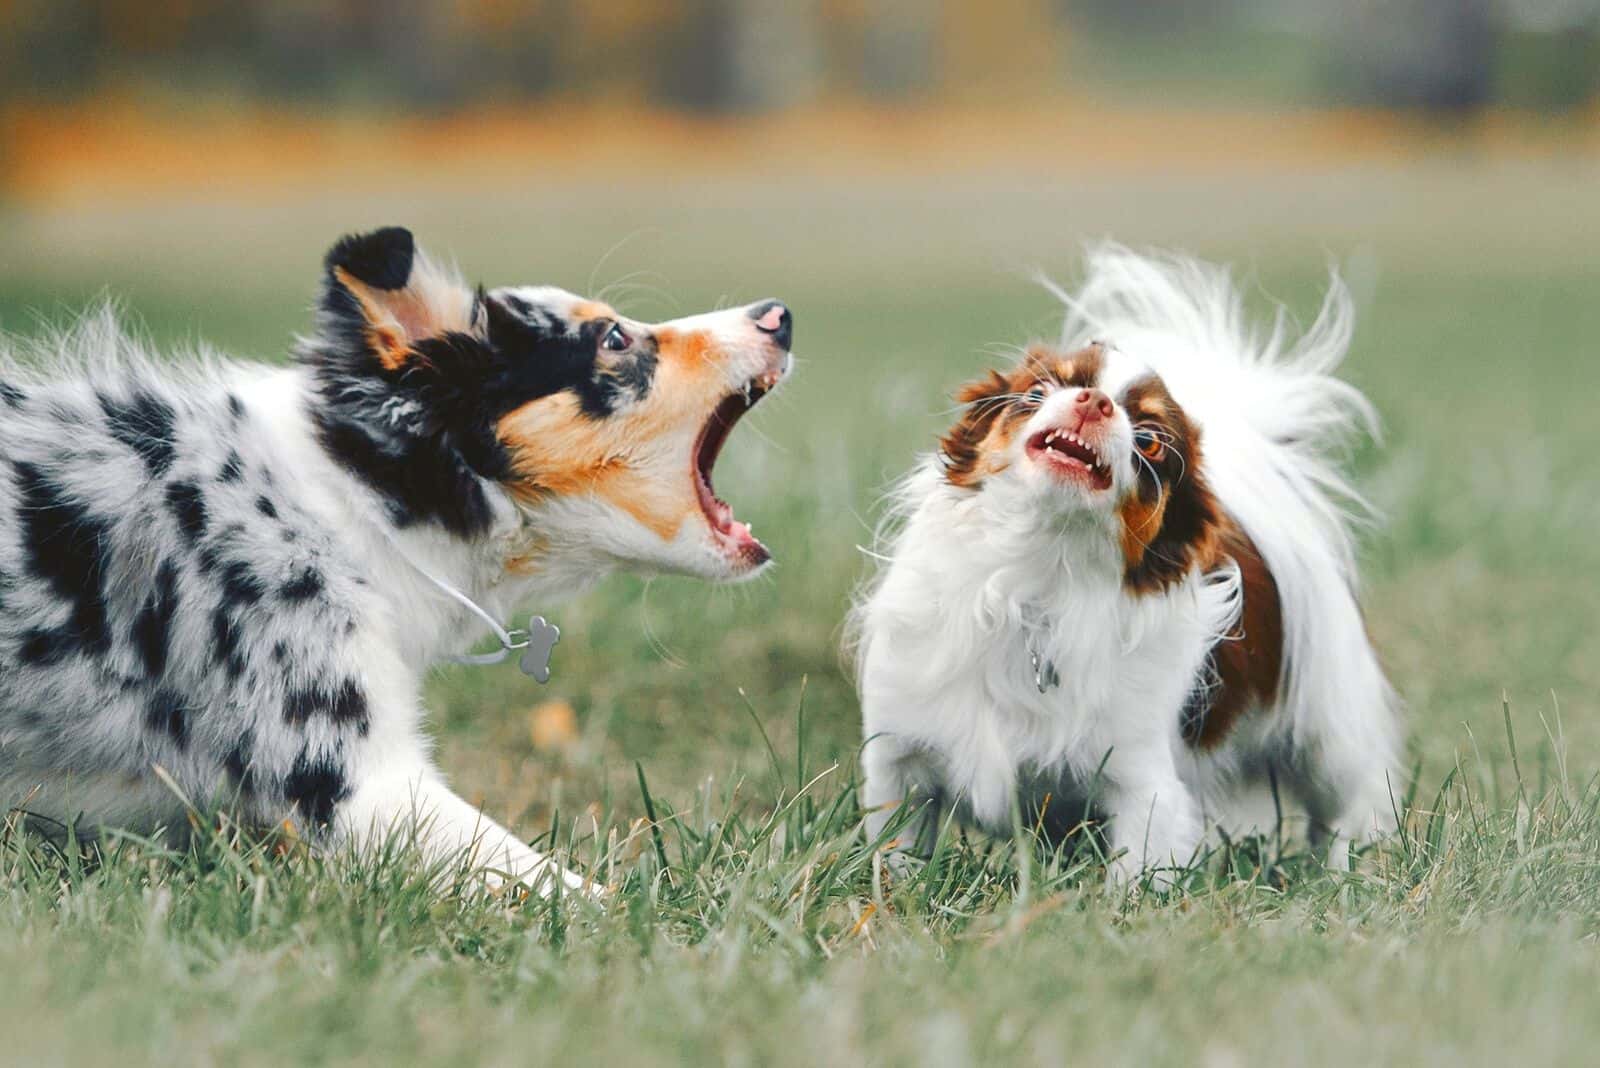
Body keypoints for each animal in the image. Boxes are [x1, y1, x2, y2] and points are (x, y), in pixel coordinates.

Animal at [851, 247, 1401, 882]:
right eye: (1040, 390)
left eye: (1152, 441)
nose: (1095, 401)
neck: (1038, 579)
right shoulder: (901, 761)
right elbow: (895, 854)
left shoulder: (1141, 783)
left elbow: (1137, 872)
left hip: (1327, 731)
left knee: (1354, 797)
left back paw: (1353, 868)